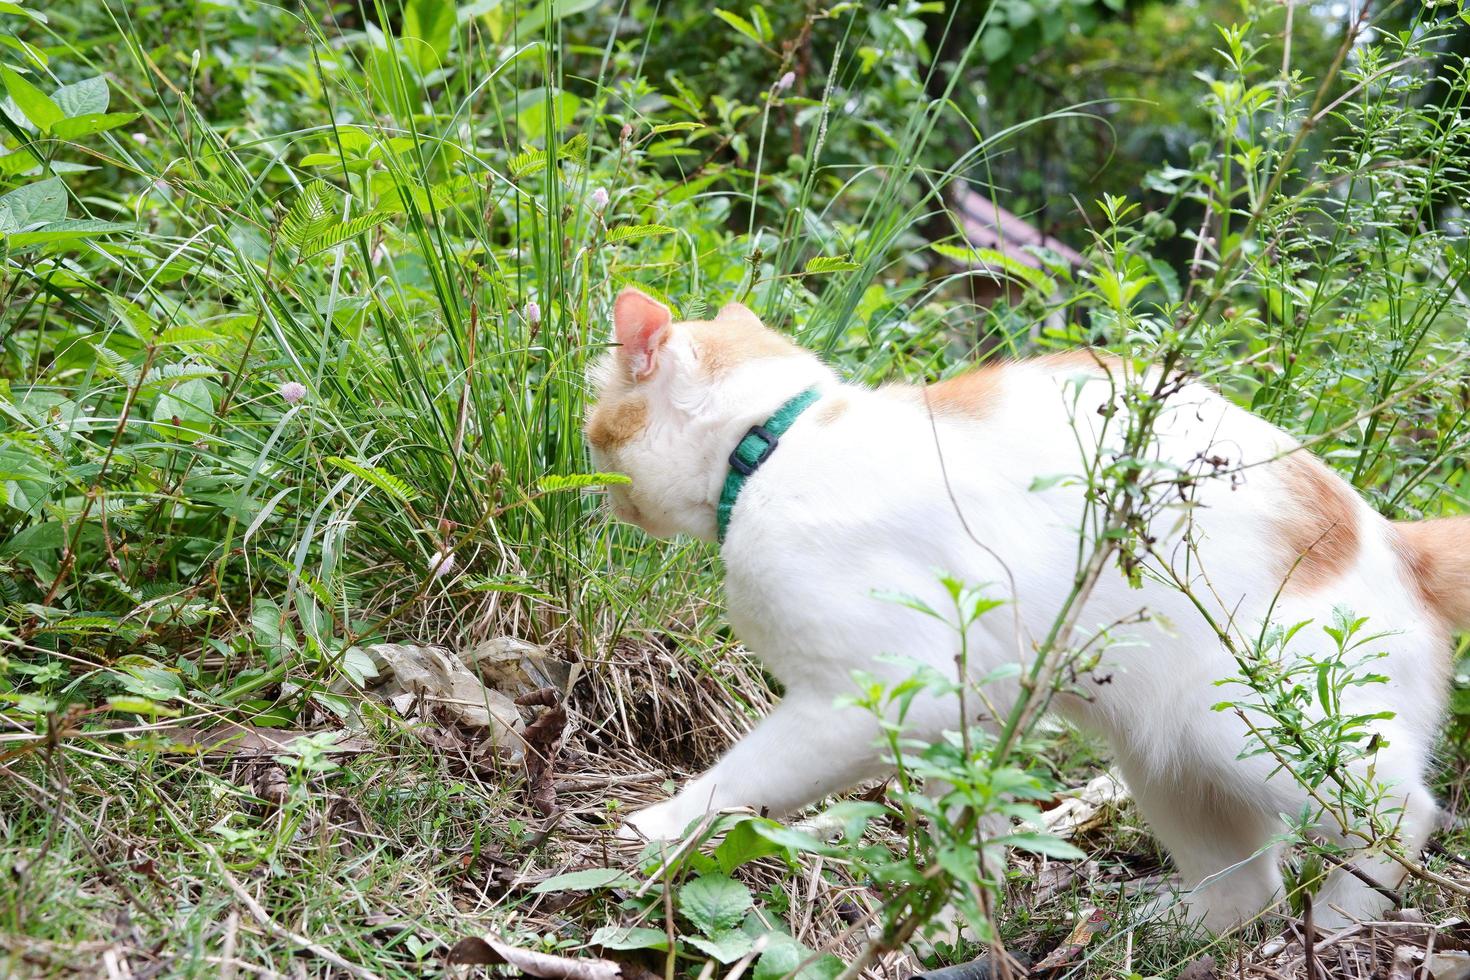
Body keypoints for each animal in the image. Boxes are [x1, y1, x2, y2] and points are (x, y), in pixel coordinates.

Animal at [579, 285, 1464, 934]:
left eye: (596, 430)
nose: (596, 488)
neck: (771, 446)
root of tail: (1397, 540)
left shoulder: (876, 699)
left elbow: (740, 781)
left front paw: (657, 829)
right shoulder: (966, 720)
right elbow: (966, 843)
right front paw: (948, 932)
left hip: (1245, 731)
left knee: (1399, 820)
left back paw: (1340, 927)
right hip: (1171, 758)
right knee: (1247, 890)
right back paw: (1169, 933)